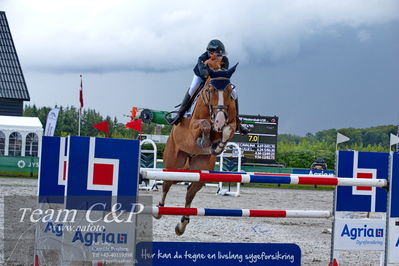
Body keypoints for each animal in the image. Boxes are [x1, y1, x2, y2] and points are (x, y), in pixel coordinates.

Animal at [155, 59, 238, 235]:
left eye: (229, 91)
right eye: (211, 90)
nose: (219, 121)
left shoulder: (231, 123)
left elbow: (228, 130)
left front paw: (218, 146)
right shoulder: (193, 126)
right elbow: (205, 124)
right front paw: (205, 140)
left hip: (201, 171)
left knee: (190, 192)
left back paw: (182, 224)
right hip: (173, 164)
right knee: (166, 184)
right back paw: (159, 210)